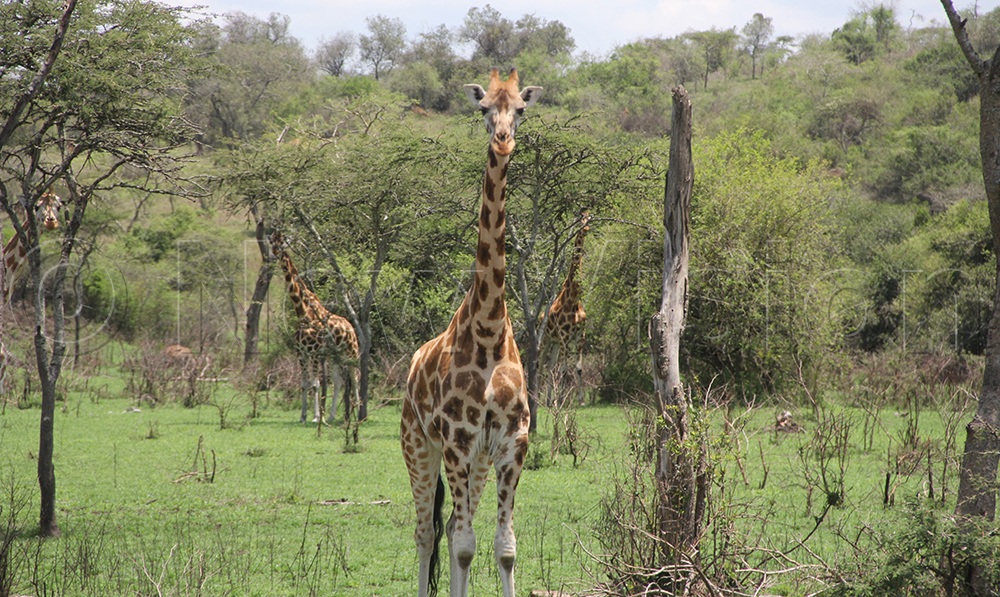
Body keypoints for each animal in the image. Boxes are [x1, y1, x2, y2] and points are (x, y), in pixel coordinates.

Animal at [270, 231, 360, 424]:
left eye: (282, 243)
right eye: (271, 242)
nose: (274, 254)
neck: (302, 311)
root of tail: (351, 327)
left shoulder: (315, 352)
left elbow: (316, 384)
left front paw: (316, 416)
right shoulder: (301, 352)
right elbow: (304, 384)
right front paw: (303, 415)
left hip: (351, 352)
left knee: (356, 377)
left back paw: (359, 410)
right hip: (335, 355)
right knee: (339, 381)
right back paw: (332, 416)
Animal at [401, 68, 541, 597]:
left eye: (520, 109)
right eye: (483, 109)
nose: (502, 140)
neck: (488, 331)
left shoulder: (511, 444)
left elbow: (503, 548)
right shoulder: (457, 442)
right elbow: (462, 546)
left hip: (476, 461)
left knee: (451, 528)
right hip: (418, 444)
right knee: (427, 531)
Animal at [539, 211, 592, 406]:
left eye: (590, 218)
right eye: (580, 219)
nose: (586, 228)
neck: (573, 299)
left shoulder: (579, 336)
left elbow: (578, 368)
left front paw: (581, 400)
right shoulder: (563, 337)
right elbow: (563, 369)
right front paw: (560, 399)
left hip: (554, 343)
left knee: (550, 365)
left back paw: (548, 400)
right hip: (546, 339)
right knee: (541, 364)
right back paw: (539, 397)